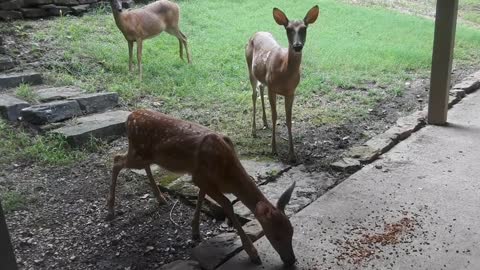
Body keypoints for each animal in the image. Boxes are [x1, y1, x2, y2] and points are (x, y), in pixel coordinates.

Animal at [107, 109, 298, 266]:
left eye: (292, 231)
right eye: (275, 235)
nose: (291, 260)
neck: (227, 174)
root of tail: (129, 117)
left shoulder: (201, 177)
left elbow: (200, 196)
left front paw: (195, 231)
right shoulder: (201, 176)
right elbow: (227, 204)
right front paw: (253, 253)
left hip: (145, 155)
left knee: (139, 165)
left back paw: (160, 198)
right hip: (137, 152)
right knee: (116, 160)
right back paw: (110, 210)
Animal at [248, 6, 318, 162]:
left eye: (304, 28)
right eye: (288, 29)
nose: (297, 46)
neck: (284, 71)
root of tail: (256, 33)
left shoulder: (291, 92)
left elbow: (288, 119)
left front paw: (292, 154)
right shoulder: (272, 88)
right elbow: (275, 116)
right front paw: (274, 149)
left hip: (263, 77)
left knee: (261, 87)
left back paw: (265, 123)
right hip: (249, 66)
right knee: (254, 94)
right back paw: (254, 130)